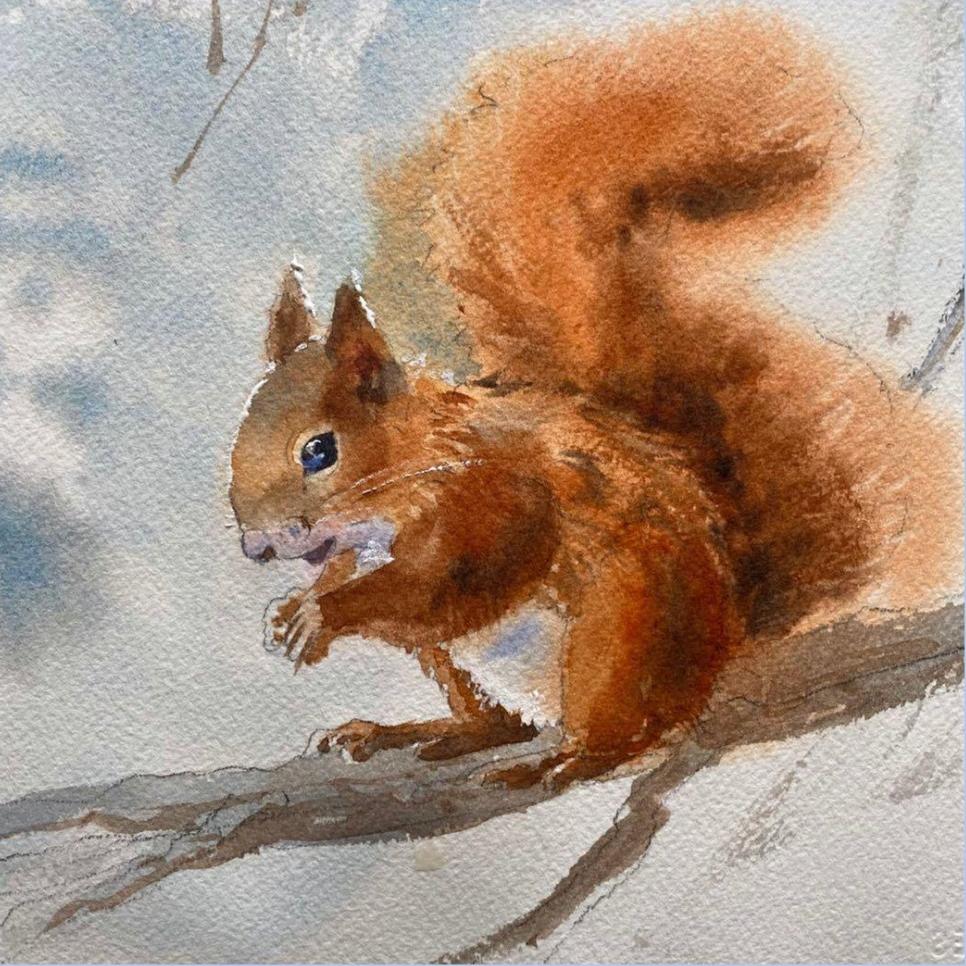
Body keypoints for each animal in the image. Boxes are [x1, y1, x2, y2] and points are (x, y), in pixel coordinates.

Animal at [229, 11, 961, 789]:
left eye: (319, 450)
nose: (256, 547)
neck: (409, 465)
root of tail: (724, 642)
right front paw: (295, 608)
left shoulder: (497, 500)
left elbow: (445, 582)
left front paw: (324, 613)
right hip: (461, 665)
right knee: (494, 720)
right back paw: (415, 731)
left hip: (617, 638)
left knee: (620, 732)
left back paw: (560, 759)